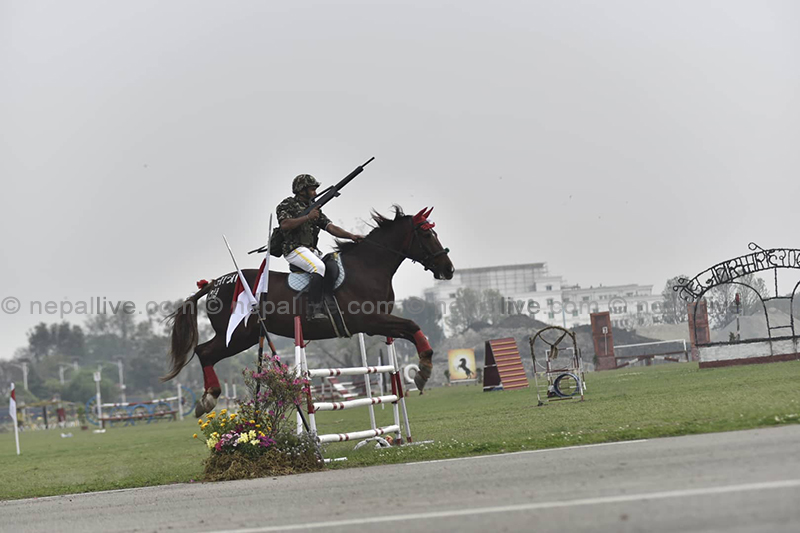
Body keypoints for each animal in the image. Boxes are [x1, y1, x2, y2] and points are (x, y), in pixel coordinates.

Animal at [162, 206, 455, 416]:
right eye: (426, 234)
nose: (449, 269)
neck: (368, 266)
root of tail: (213, 284)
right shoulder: (372, 320)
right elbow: (413, 325)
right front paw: (424, 370)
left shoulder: (377, 323)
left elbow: (411, 330)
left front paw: (423, 367)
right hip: (236, 335)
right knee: (204, 352)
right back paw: (209, 397)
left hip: (246, 336)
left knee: (205, 352)